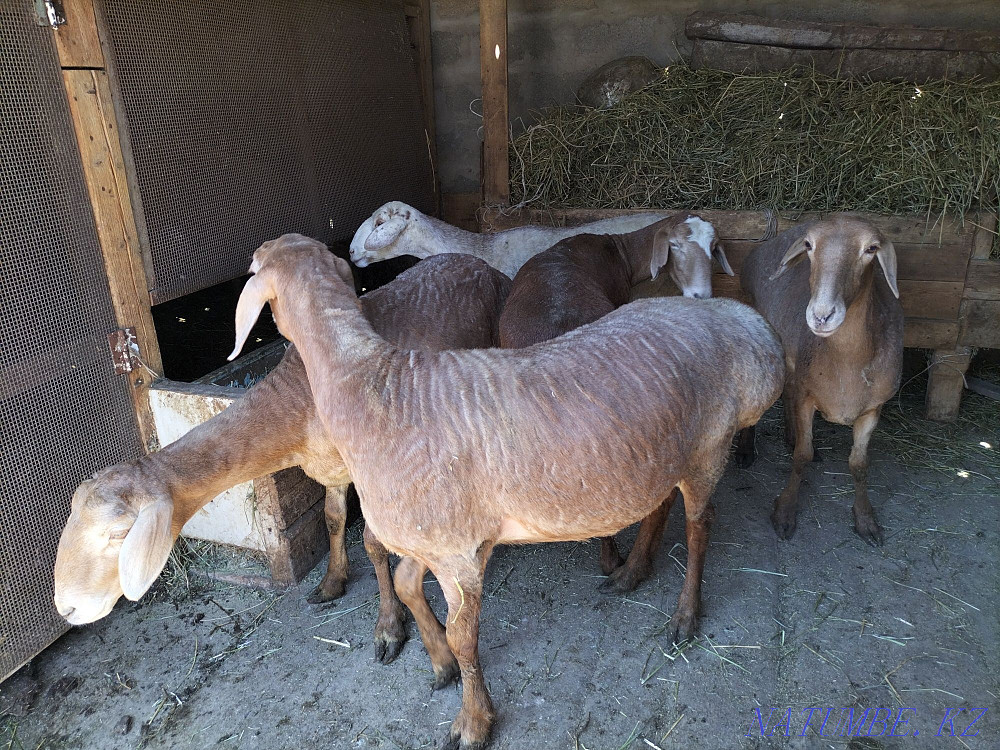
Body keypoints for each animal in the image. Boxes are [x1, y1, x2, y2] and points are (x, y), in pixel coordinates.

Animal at [53, 254, 510, 667]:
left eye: (118, 535)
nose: (66, 609)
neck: (295, 402)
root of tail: (482, 263)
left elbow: (374, 544)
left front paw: (389, 626)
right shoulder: (330, 469)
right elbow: (332, 519)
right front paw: (332, 582)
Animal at [739, 214, 903, 545]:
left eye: (871, 249)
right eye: (809, 245)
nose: (822, 315)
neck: (847, 363)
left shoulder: (872, 409)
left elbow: (859, 464)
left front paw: (866, 519)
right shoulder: (808, 398)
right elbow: (800, 457)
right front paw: (785, 513)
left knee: (788, 391)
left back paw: (790, 435)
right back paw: (747, 450)